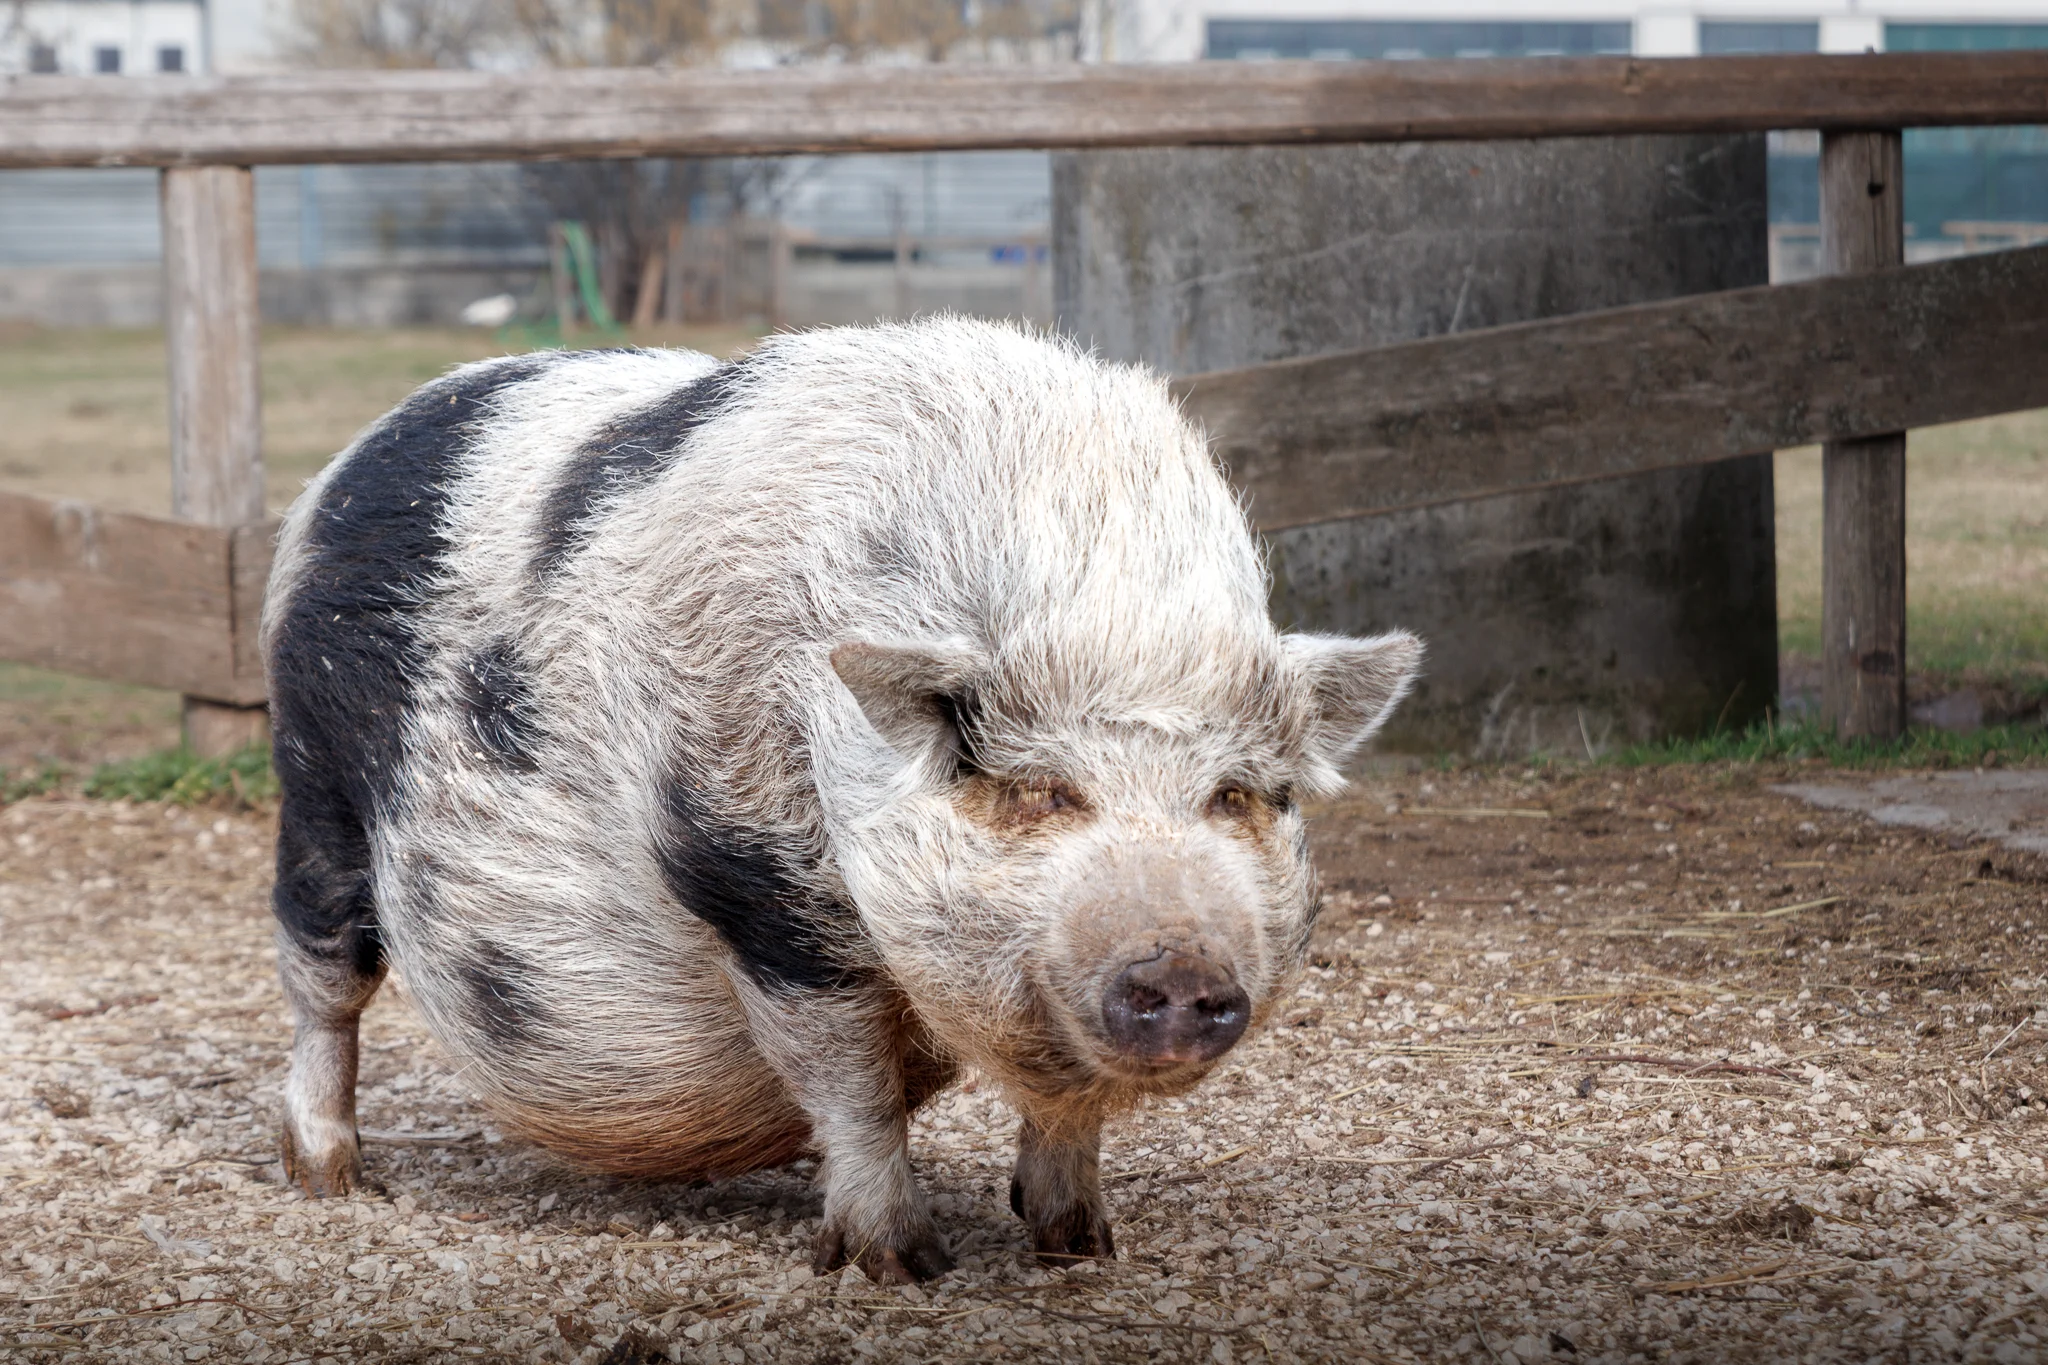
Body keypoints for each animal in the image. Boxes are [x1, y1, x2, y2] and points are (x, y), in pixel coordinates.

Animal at [262, 317, 1420, 1281]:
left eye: (1236, 795)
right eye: (1038, 790)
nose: (1179, 966)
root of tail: (338, 473)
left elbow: (1064, 1106)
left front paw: (1080, 1247)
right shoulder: (753, 877)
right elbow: (850, 1081)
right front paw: (903, 1267)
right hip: (312, 783)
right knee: (325, 982)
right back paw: (332, 1179)